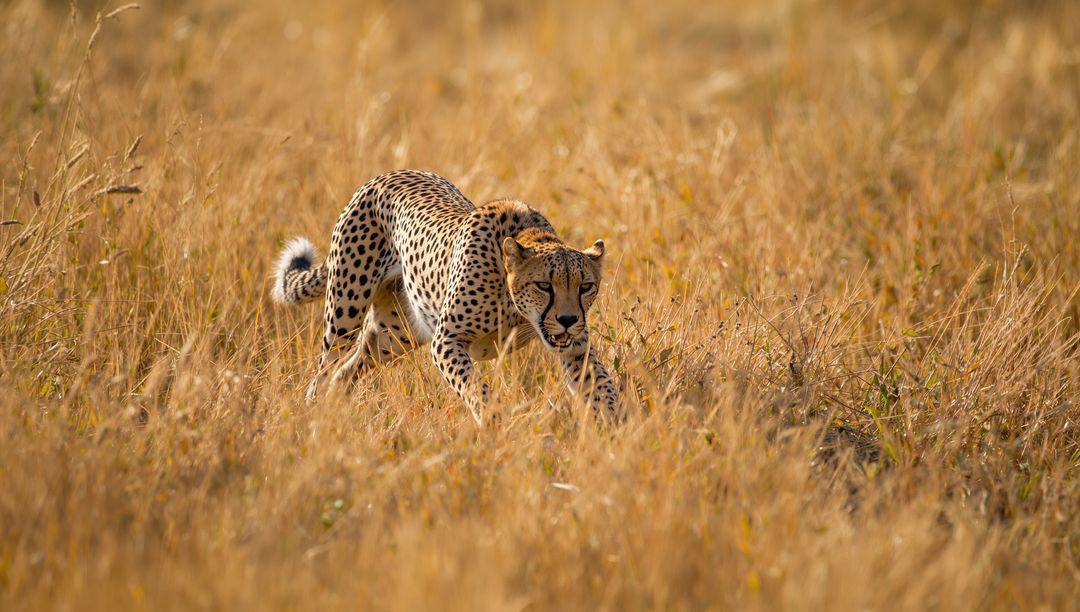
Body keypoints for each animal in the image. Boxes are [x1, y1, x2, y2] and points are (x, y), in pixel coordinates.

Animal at [271, 169, 619, 423]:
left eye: (585, 286)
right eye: (544, 285)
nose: (568, 319)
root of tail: (387, 174)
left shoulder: (576, 347)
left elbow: (602, 386)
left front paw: (617, 430)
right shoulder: (447, 339)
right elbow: (475, 387)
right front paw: (493, 422)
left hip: (396, 334)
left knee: (348, 368)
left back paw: (334, 408)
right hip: (345, 313)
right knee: (324, 369)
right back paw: (313, 414)